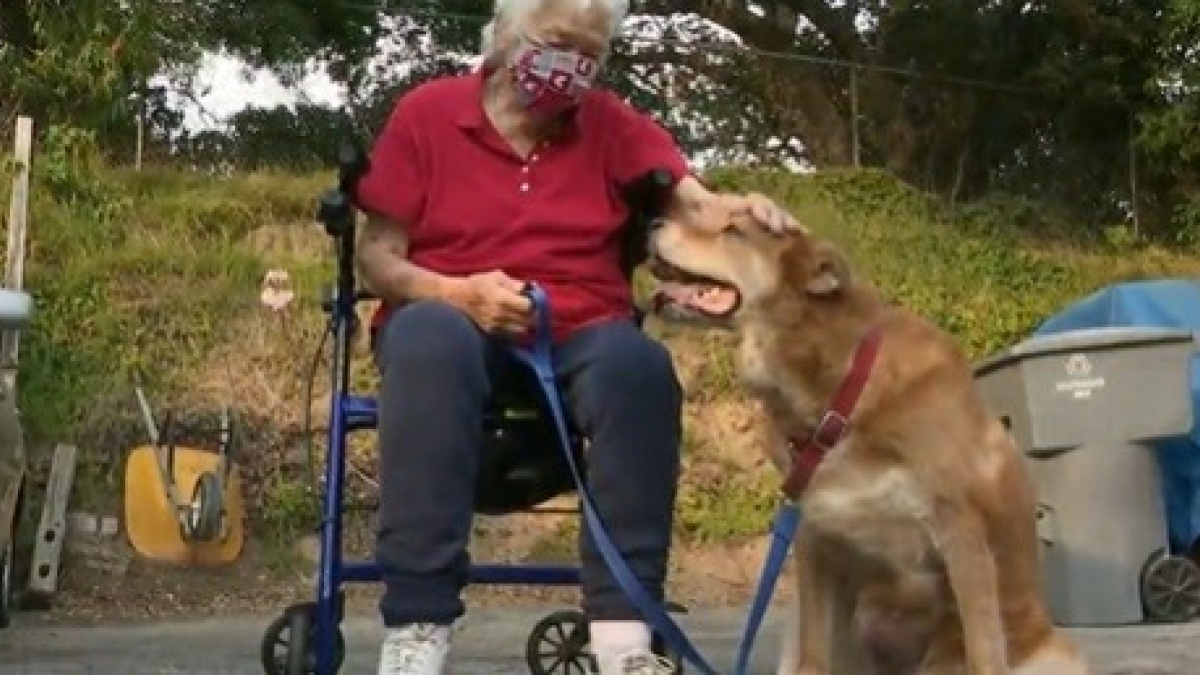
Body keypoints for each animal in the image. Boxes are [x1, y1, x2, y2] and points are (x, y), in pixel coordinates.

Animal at [648, 204, 1089, 672]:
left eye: (734, 231)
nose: (652, 221)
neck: (841, 395)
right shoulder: (815, 538)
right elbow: (812, 653)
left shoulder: (962, 535)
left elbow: (983, 651)